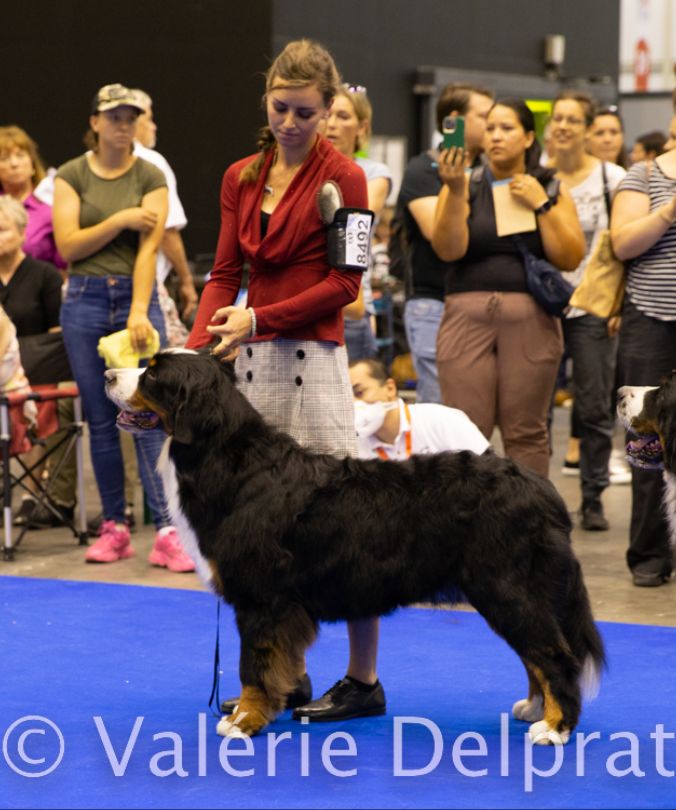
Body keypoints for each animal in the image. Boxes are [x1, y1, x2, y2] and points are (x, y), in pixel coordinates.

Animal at [107, 348, 608, 744]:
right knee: (536, 654)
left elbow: (254, 664)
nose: (108, 373)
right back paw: (534, 709)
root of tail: (539, 486)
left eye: (152, 374)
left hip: (507, 588)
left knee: (554, 656)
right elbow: (278, 662)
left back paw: (555, 727)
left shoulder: (260, 598)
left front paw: (244, 720)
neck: (229, 460)